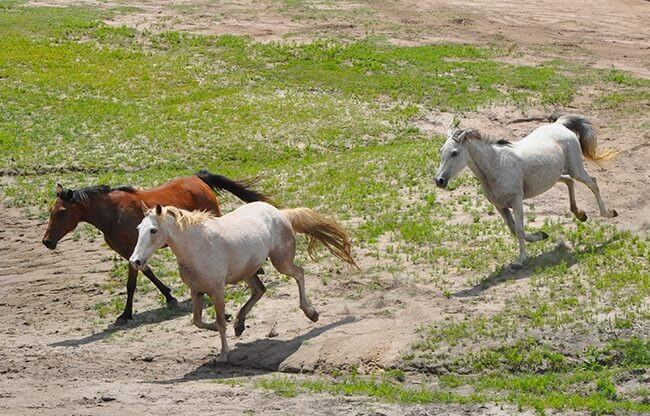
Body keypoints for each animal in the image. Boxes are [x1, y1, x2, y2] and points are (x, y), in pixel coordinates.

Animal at [42, 171, 270, 326]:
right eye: (51, 210)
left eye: (62, 212)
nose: (47, 242)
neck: (113, 214)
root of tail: (198, 178)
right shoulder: (131, 254)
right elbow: (147, 274)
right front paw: (168, 297)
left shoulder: (131, 251)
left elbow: (131, 284)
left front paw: (126, 314)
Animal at [129, 202, 356, 360]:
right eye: (138, 228)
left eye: (153, 230)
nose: (135, 261)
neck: (198, 246)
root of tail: (281, 213)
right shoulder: (196, 290)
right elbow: (198, 321)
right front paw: (223, 326)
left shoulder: (217, 290)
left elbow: (220, 322)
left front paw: (223, 354)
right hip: (248, 270)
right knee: (259, 290)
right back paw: (239, 324)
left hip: (281, 262)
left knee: (299, 274)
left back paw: (311, 313)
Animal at [432, 114, 616, 270]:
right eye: (441, 151)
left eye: (454, 153)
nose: (439, 181)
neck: (496, 166)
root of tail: (559, 124)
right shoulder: (500, 206)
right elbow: (513, 229)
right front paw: (541, 235)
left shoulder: (516, 201)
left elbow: (519, 229)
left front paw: (520, 261)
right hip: (556, 176)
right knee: (570, 182)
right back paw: (580, 214)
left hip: (576, 169)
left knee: (593, 183)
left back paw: (609, 213)